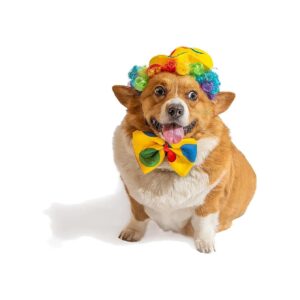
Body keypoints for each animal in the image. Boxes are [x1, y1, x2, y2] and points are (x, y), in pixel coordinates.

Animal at [111, 47, 256, 253]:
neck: (168, 160)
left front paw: (205, 244)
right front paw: (132, 232)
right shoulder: (133, 196)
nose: (175, 109)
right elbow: (138, 215)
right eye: (159, 90)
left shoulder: (211, 198)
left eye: (193, 95)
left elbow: (204, 222)